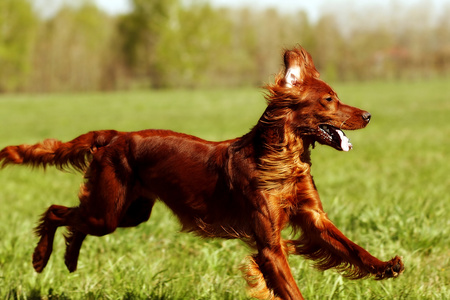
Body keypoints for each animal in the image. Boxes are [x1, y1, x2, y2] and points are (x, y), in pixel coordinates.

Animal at [0, 46, 402, 298]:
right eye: (329, 100)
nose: (368, 115)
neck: (282, 160)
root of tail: (115, 135)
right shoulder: (268, 245)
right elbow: (291, 288)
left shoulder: (313, 218)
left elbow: (352, 248)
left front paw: (386, 266)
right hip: (109, 210)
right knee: (56, 212)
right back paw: (40, 258)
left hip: (128, 212)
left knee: (74, 220)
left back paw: (68, 258)